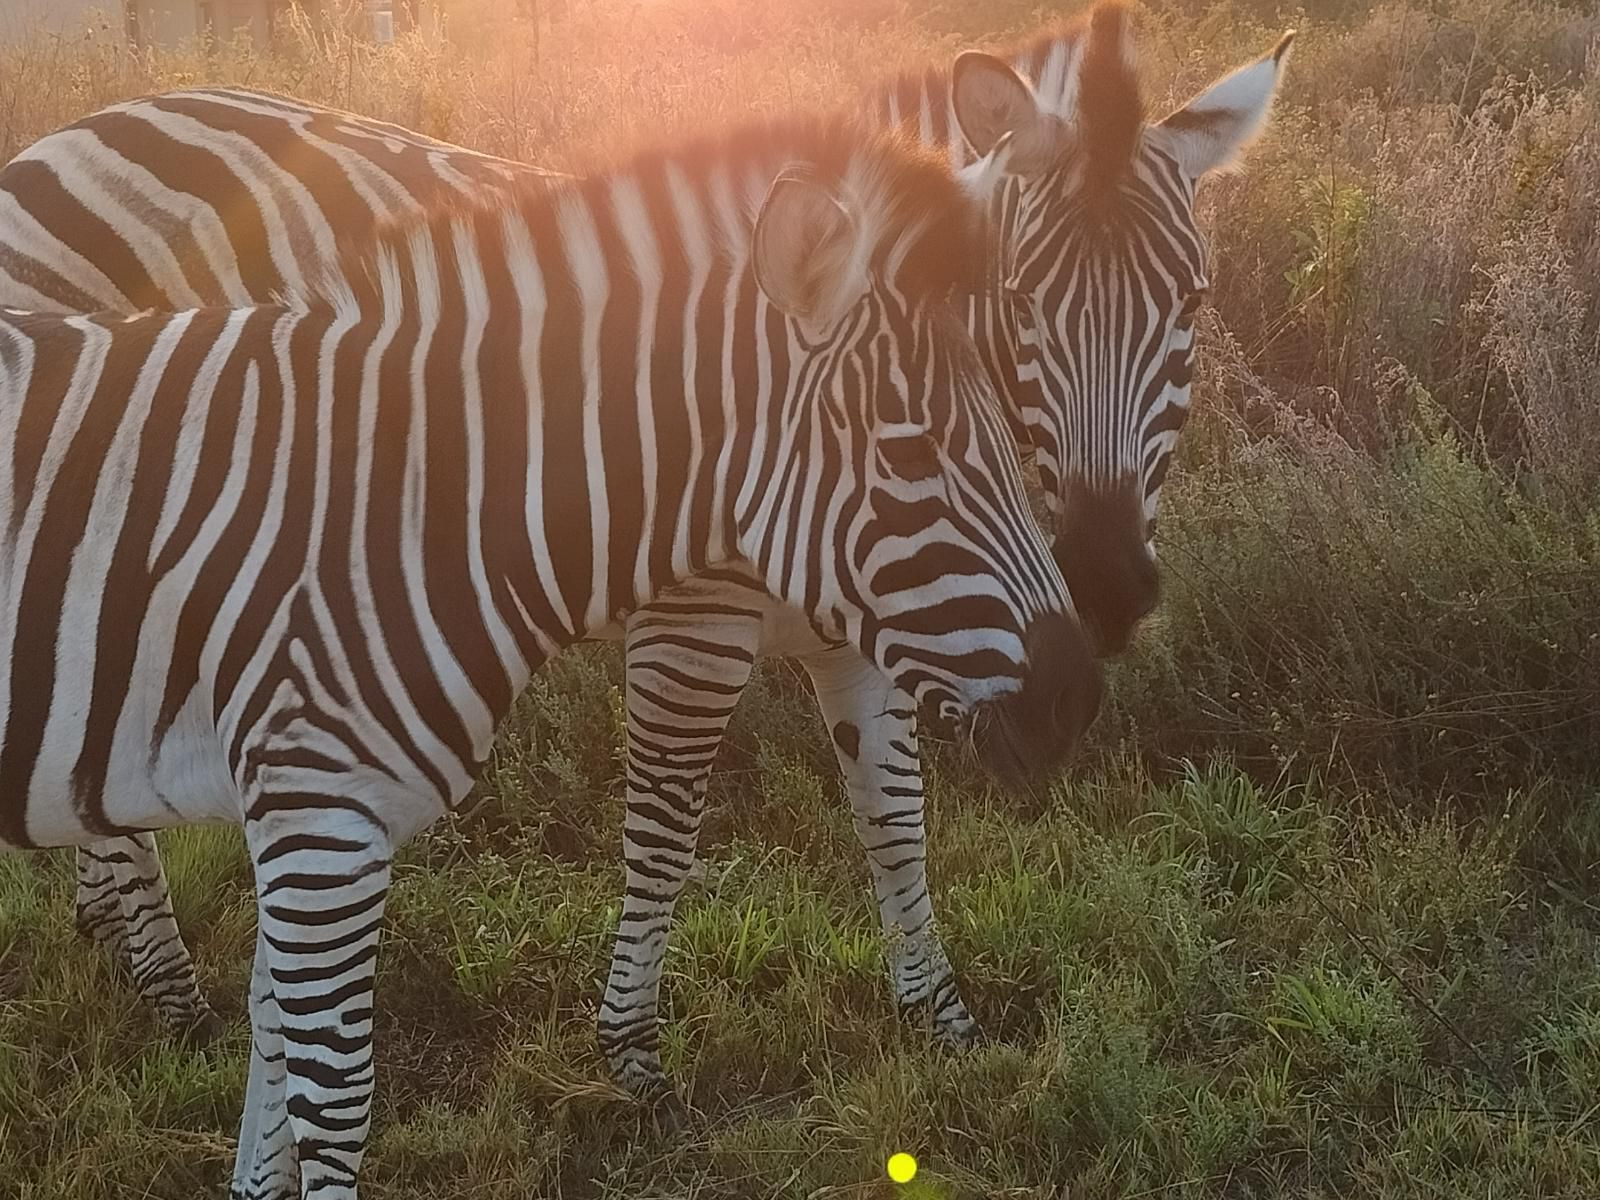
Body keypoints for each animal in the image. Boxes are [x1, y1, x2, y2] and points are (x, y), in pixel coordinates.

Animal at [0, 2, 1286, 1120]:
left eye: (1191, 301)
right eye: (1020, 305)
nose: (1109, 584)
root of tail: (74, 130)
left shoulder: (863, 626)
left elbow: (892, 812)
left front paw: (939, 1017)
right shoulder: (694, 620)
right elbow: (665, 822)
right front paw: (631, 1053)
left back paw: (119, 944)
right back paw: (173, 996)